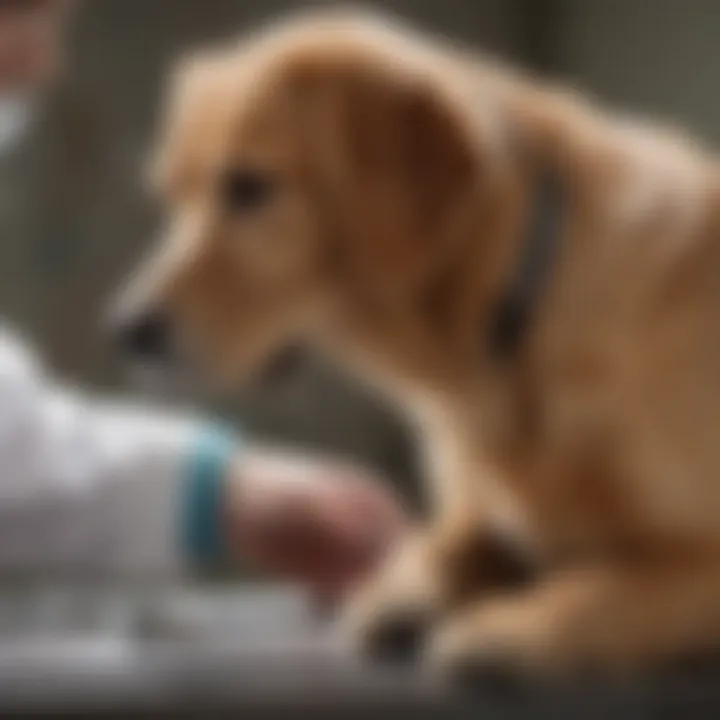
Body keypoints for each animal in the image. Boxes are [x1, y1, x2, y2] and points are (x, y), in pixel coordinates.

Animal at [112, 8, 720, 676]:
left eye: (248, 187)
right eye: (172, 195)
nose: (127, 330)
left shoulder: (695, 553)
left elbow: (610, 584)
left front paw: (512, 626)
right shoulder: (479, 506)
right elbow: (450, 538)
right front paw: (401, 590)